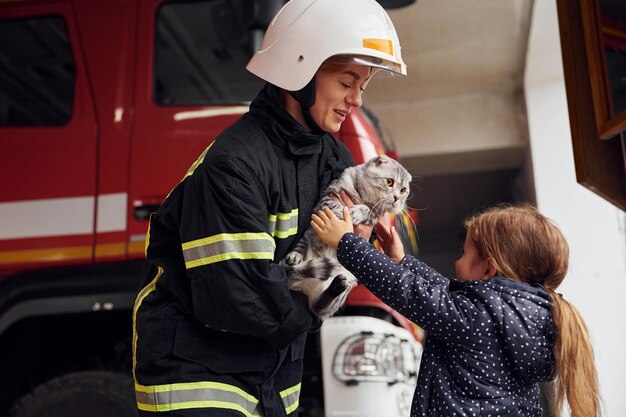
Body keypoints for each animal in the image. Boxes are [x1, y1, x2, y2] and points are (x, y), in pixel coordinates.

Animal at [282, 155, 410, 318]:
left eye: (403, 190)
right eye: (389, 182)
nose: (396, 198)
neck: (362, 198)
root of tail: (300, 285)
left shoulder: (374, 217)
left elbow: (366, 210)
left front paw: (354, 213)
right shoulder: (328, 197)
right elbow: (336, 206)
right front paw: (346, 212)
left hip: (344, 282)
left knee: (321, 307)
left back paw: (336, 286)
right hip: (305, 239)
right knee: (299, 250)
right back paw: (294, 258)